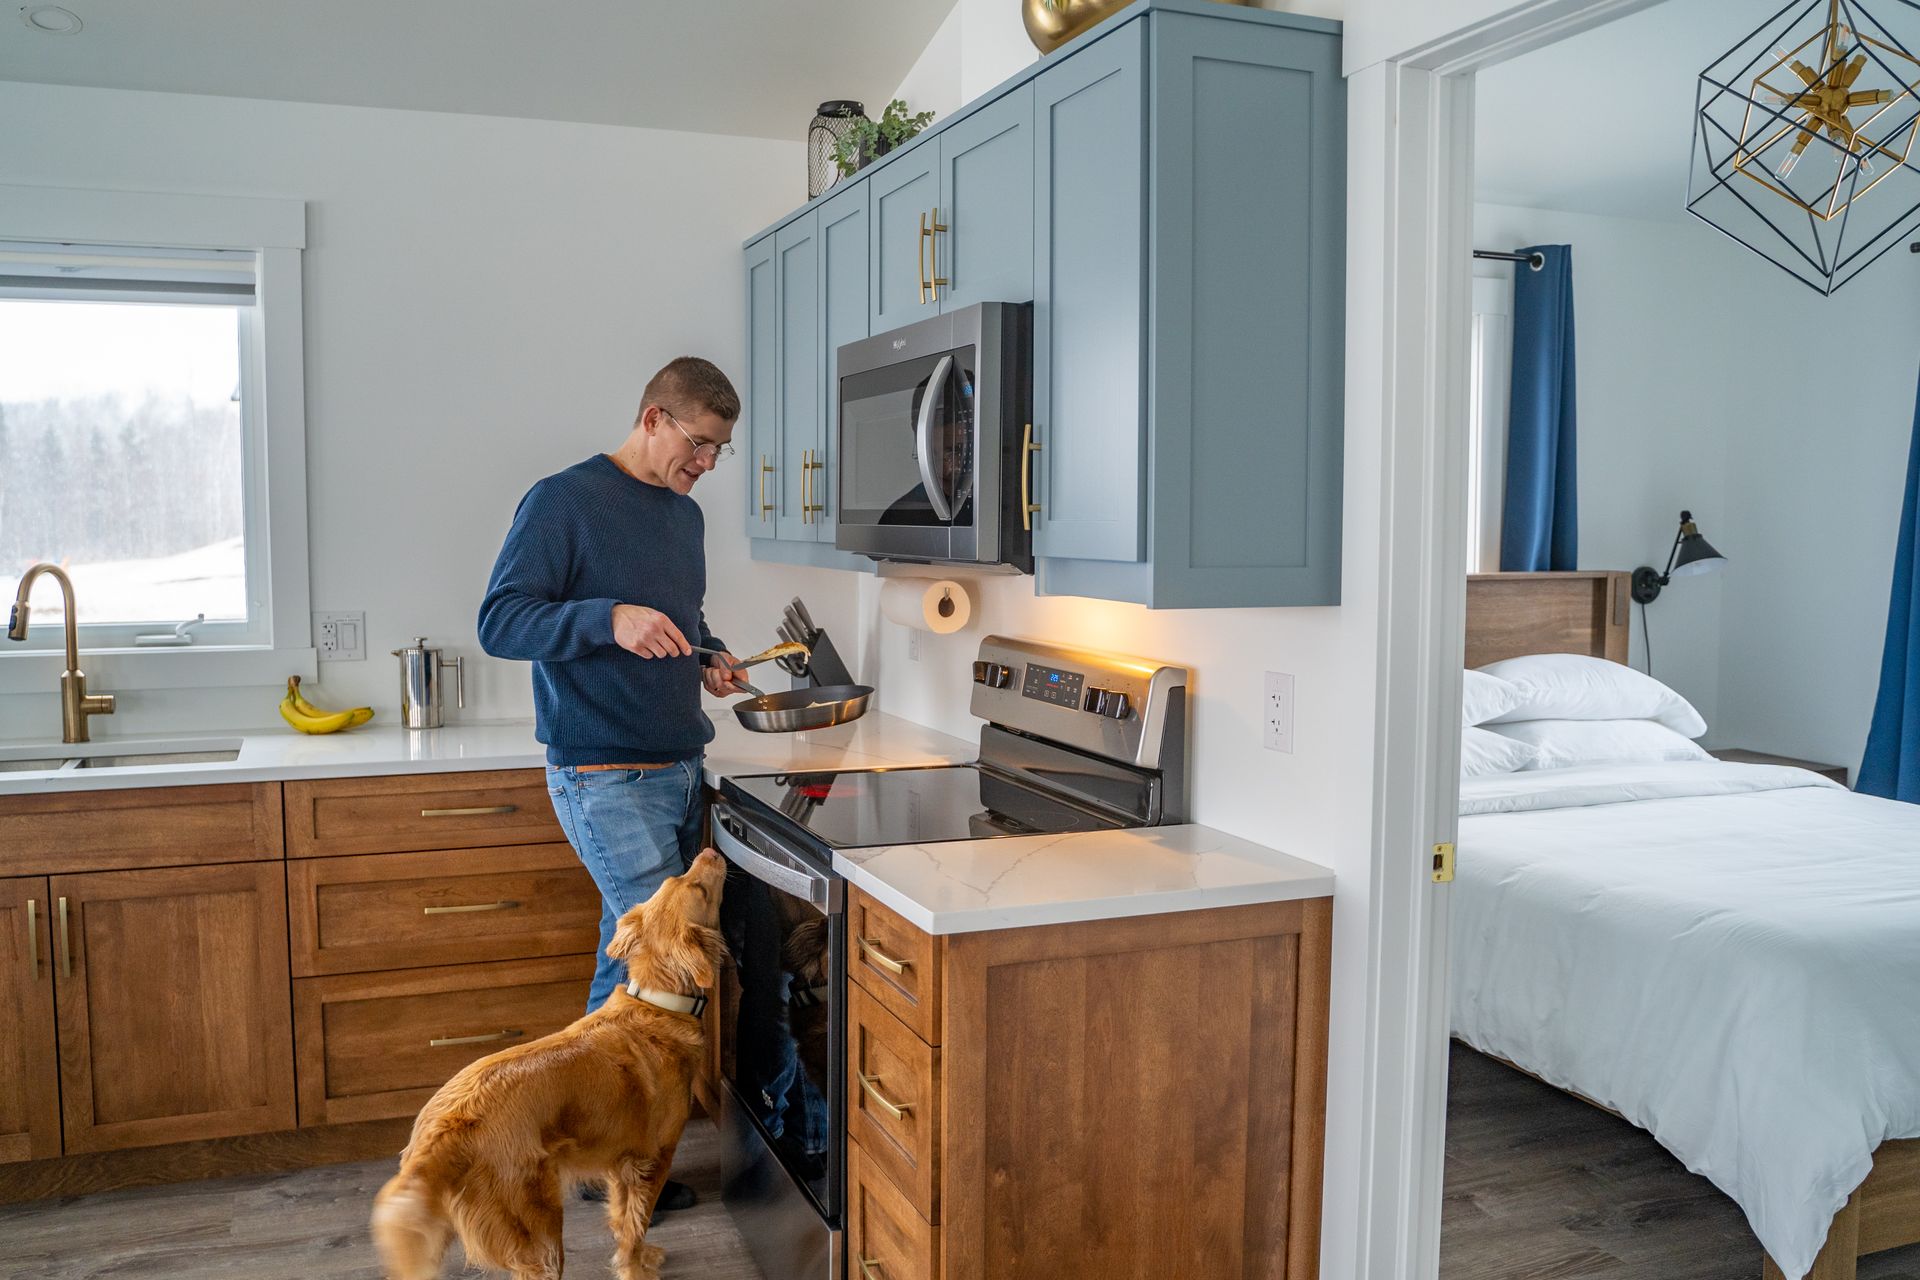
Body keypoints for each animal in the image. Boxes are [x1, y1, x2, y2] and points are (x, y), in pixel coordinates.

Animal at [372, 852, 725, 1280]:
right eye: (700, 890)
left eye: (678, 878)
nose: (711, 853)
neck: (658, 1003)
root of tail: (442, 1130)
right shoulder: (653, 1160)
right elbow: (635, 1225)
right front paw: (635, 1270)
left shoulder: (620, 1163)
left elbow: (621, 1218)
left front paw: (639, 1258)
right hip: (539, 1228)